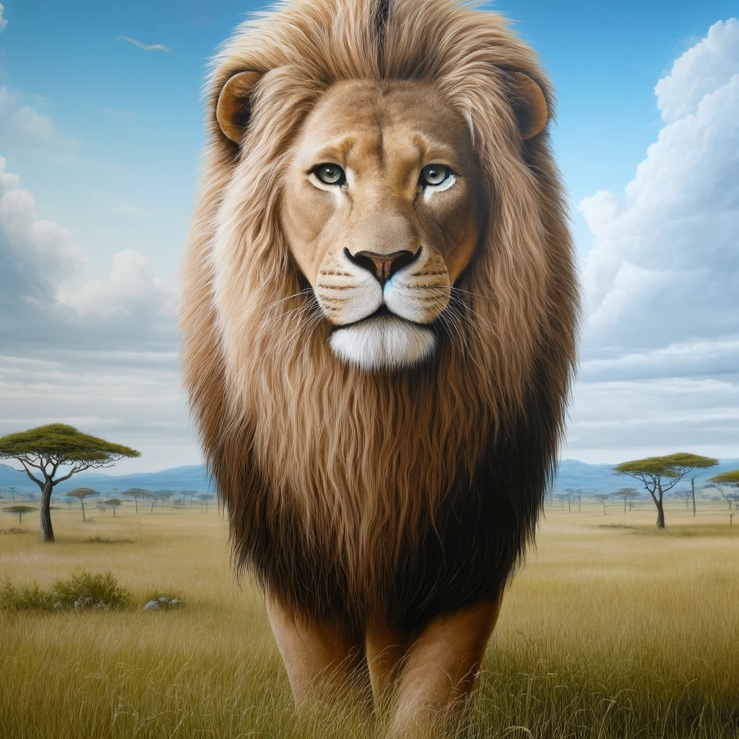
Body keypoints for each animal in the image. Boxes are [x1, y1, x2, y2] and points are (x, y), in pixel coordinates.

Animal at [181, 0, 578, 735]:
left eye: (436, 176)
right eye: (329, 175)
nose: (383, 259)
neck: (369, 426)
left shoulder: (468, 553)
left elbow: (427, 698)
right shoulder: (296, 559)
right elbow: (327, 696)